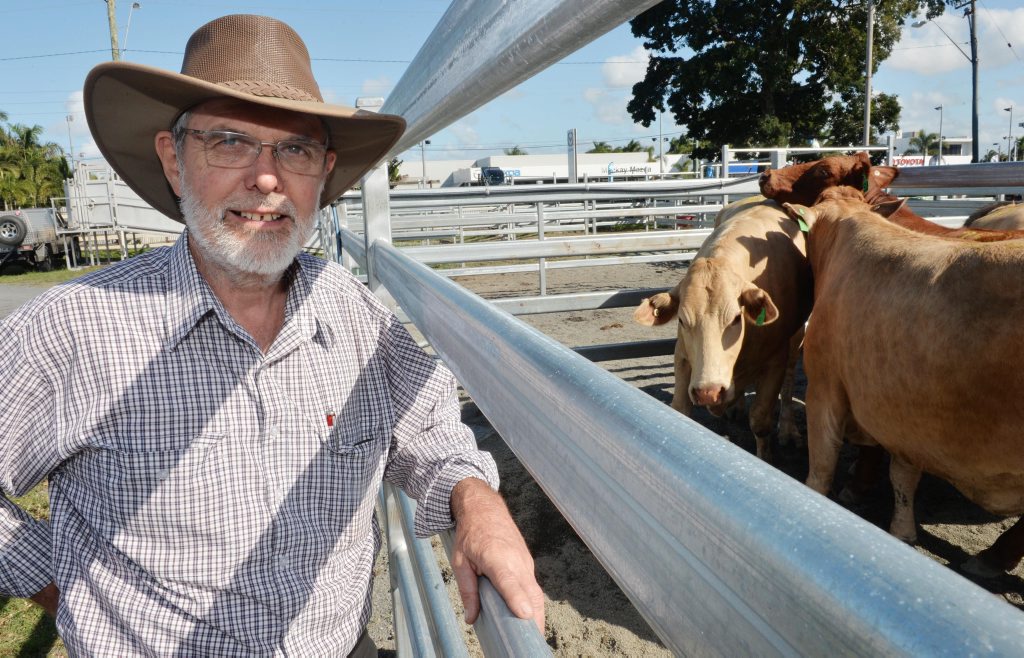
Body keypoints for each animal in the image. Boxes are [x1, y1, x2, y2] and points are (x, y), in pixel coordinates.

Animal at [630, 195, 815, 462]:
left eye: (736, 318)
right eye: (682, 320)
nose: (709, 391)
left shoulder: (775, 361)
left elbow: (760, 420)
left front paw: (766, 457)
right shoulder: (682, 356)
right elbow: (680, 409)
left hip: (796, 336)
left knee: (790, 380)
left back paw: (788, 430)